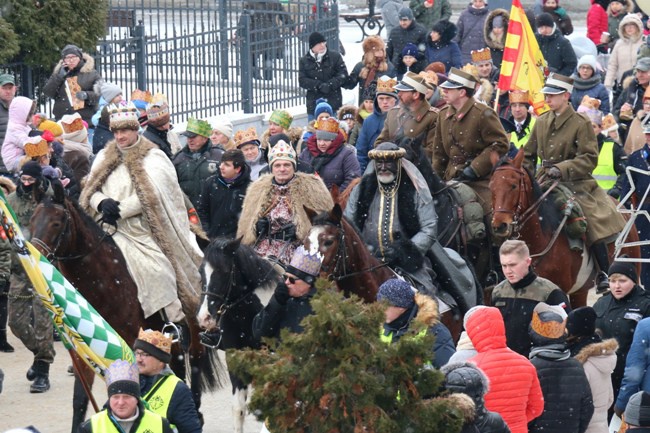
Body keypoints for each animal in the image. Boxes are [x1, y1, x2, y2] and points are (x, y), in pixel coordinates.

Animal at [29, 181, 223, 430]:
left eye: (56, 222)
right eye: (32, 220)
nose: (33, 260)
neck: (104, 284)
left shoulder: (131, 346)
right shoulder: (83, 352)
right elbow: (80, 399)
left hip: (195, 330)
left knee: (195, 367)